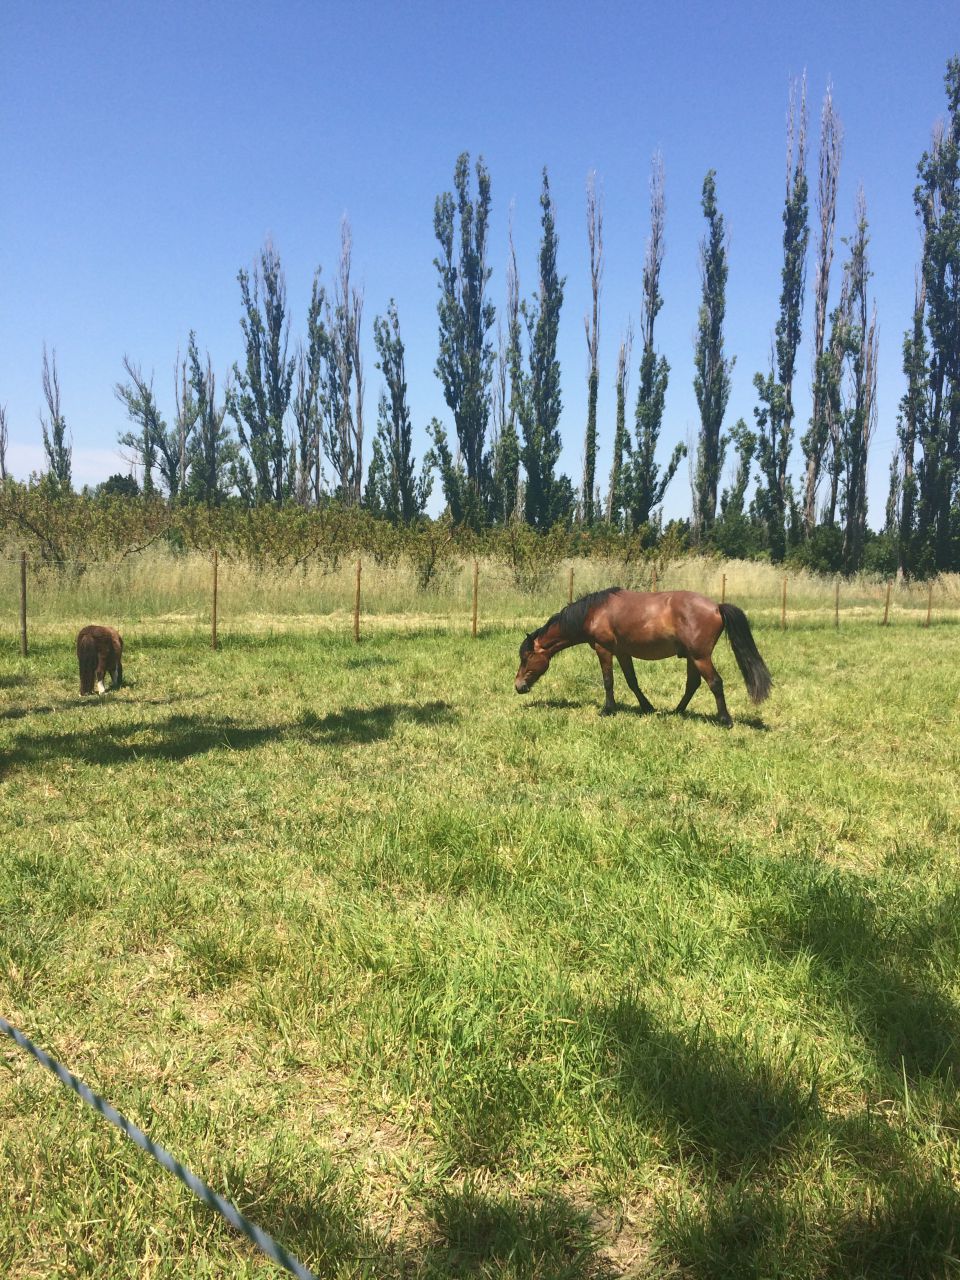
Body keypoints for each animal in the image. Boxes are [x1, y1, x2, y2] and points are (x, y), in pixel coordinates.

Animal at [515, 587, 771, 726]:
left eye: (525, 658)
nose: (518, 686)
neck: (593, 612)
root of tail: (717, 606)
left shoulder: (604, 649)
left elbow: (608, 681)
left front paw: (607, 710)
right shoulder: (622, 652)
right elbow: (632, 681)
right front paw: (647, 707)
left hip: (700, 657)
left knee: (715, 683)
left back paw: (725, 719)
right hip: (692, 657)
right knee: (693, 685)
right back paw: (677, 711)